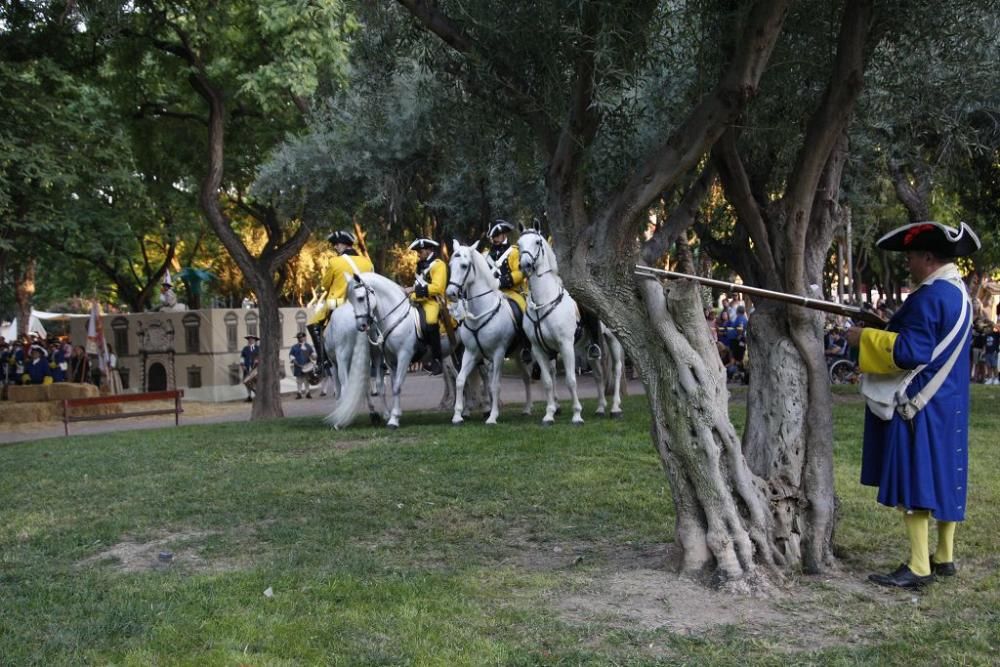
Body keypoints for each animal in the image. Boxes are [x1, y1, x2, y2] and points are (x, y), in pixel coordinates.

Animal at [328, 274, 454, 430]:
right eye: (350, 299)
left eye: (360, 298)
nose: (361, 326)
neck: (396, 317)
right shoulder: (390, 360)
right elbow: (393, 386)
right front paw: (394, 415)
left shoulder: (404, 356)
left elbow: (396, 385)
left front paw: (393, 419)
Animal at [448, 243, 536, 426]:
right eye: (451, 265)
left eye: (464, 266)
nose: (451, 293)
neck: (480, 310)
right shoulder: (471, 353)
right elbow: (460, 380)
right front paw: (458, 415)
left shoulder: (498, 354)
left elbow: (495, 385)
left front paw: (492, 416)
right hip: (517, 356)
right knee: (526, 378)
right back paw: (527, 409)